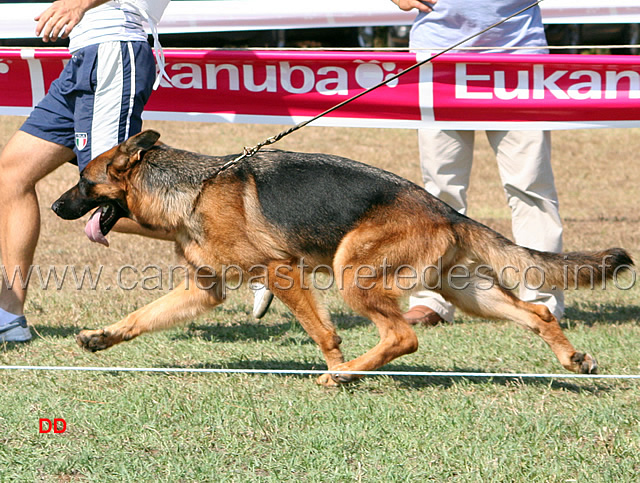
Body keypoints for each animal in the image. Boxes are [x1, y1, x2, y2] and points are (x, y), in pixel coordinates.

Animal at [52, 130, 632, 388]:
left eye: (84, 181)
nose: (56, 207)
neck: (190, 190)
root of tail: (444, 208)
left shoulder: (281, 272)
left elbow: (322, 332)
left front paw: (336, 367)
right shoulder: (203, 288)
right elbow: (140, 316)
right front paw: (101, 338)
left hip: (353, 273)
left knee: (402, 337)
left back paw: (348, 374)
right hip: (466, 291)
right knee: (535, 312)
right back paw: (573, 359)